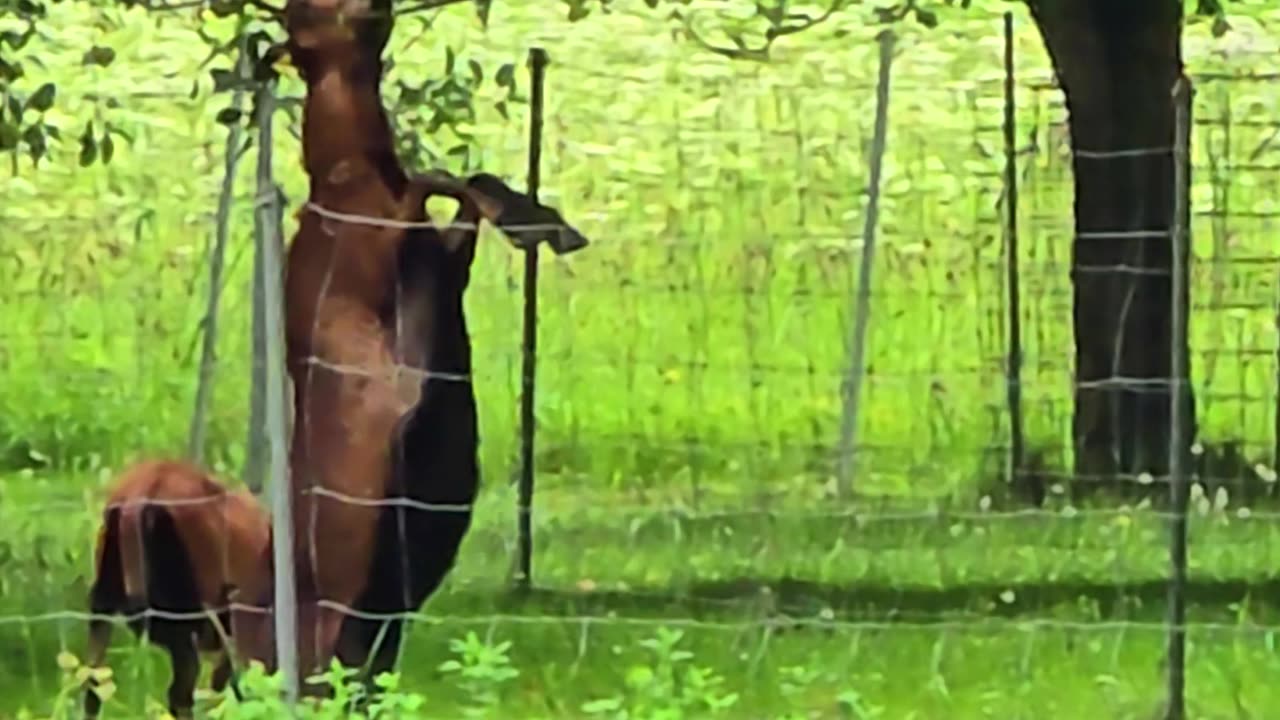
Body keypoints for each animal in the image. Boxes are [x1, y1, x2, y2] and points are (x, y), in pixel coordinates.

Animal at [227, 0, 586, 691]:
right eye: (302, 17)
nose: (375, 6)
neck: (346, 178)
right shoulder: (377, 244)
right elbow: (438, 178)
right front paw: (540, 226)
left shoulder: (444, 259)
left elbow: (462, 183)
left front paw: (544, 221)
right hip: (324, 640)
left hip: (376, 627)